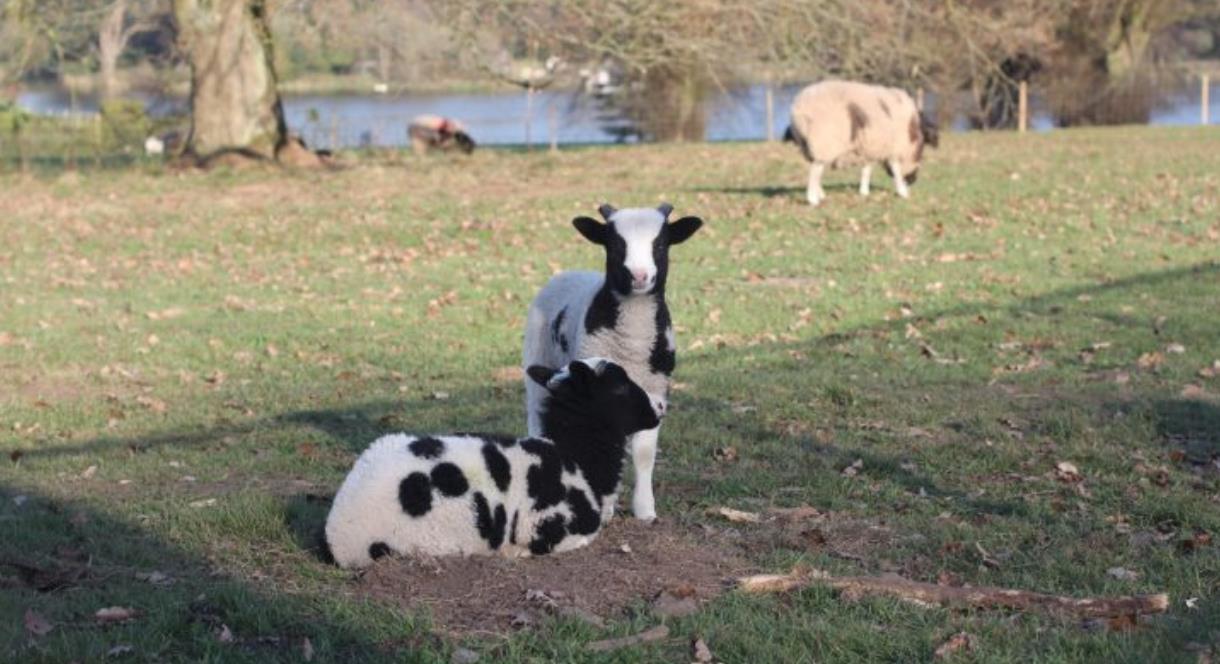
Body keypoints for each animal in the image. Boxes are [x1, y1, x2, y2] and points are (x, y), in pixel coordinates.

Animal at [324, 358, 663, 571]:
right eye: (619, 387)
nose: (658, 410)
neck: (576, 456)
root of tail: (336, 529)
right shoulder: (547, 525)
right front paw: (514, 554)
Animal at [519, 200, 702, 522]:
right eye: (615, 245)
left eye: (661, 244)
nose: (639, 276)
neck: (632, 344)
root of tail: (568, 272)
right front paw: (604, 508)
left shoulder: (656, 391)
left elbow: (644, 453)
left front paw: (645, 510)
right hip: (537, 362)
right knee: (537, 418)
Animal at [785, 80, 936, 206]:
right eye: (922, 152)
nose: (912, 180)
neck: (910, 132)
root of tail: (798, 108)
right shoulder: (893, 147)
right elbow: (896, 169)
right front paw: (903, 192)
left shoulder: (872, 146)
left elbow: (867, 169)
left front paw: (864, 191)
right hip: (824, 142)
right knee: (815, 171)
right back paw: (813, 199)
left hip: (807, 144)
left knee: (816, 168)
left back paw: (820, 194)